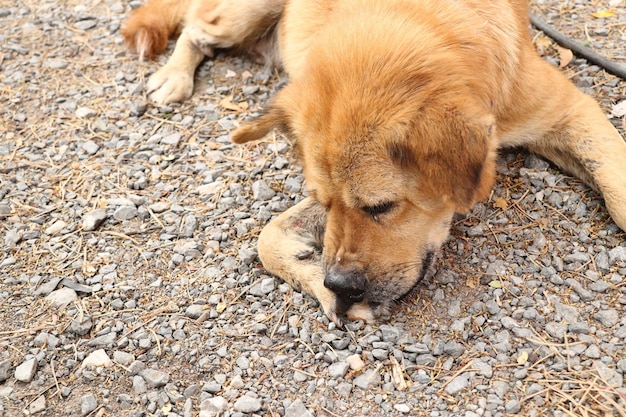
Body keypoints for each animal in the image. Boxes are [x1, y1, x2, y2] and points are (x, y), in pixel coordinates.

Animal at [124, 0, 624, 324]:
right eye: (325, 203)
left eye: (381, 207)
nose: (341, 287)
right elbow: (268, 239)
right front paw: (317, 282)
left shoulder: (569, 111)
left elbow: (616, 191)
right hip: (239, 14)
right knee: (197, 28)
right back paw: (172, 76)